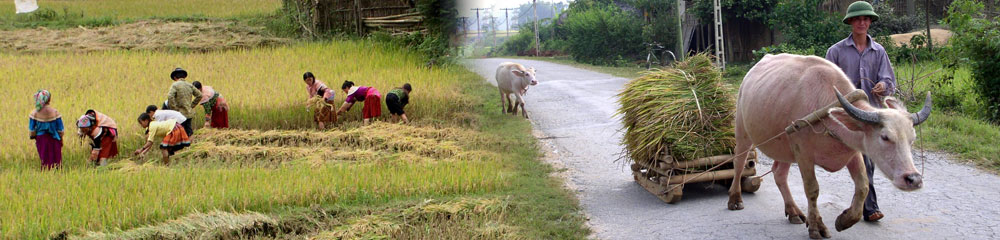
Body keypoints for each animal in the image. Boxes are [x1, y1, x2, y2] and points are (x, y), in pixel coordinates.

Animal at [728, 53, 928, 239]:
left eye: (912, 139)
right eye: (885, 137)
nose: (913, 179)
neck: (825, 113)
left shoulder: (852, 152)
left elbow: (863, 185)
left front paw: (844, 220)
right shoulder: (804, 154)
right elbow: (812, 189)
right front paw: (817, 227)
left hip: (784, 146)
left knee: (779, 174)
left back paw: (793, 211)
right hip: (742, 131)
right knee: (739, 163)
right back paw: (735, 199)